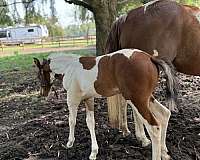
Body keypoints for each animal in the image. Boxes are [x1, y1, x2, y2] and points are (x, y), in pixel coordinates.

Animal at [33, 49, 177, 160]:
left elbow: (72, 121)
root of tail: (150, 58)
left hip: (137, 100)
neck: (69, 68)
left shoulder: (72, 99)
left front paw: (70, 142)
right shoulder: (89, 99)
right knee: (165, 114)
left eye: (39, 75)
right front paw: (93, 152)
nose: (42, 93)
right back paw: (165, 153)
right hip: (146, 99)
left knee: (154, 127)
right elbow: (90, 122)